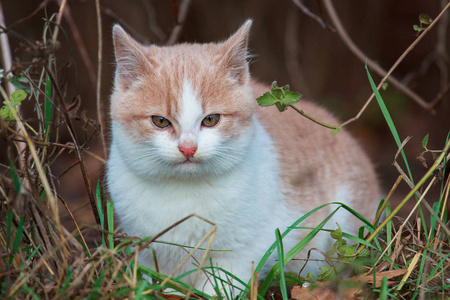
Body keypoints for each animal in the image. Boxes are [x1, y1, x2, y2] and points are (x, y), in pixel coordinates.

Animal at [107, 19, 382, 294]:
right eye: (160, 121)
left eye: (211, 120)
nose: (188, 148)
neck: (184, 192)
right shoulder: (149, 253)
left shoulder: (242, 253)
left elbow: (219, 286)